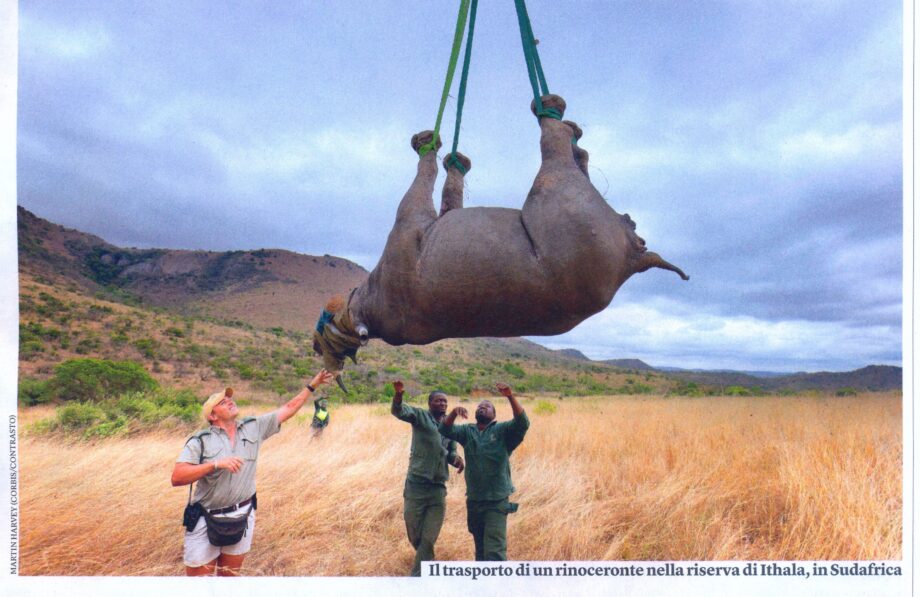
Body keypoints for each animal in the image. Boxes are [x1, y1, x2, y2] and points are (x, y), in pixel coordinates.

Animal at [314, 95, 687, 391]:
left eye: (326, 339)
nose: (317, 350)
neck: (366, 307)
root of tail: (634, 258)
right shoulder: (408, 228)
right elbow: (430, 182)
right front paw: (432, 148)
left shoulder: (408, 228)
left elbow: (442, 192)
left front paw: (445, 154)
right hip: (564, 196)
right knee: (561, 147)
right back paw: (556, 114)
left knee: (565, 145)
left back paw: (556, 114)